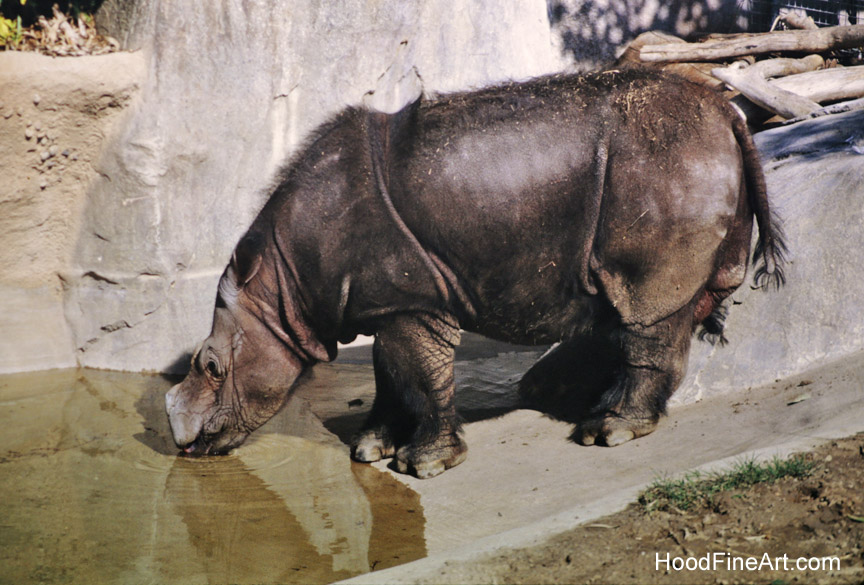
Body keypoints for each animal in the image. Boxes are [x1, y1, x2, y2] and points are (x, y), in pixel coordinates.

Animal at [166, 68, 786, 478]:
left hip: (666, 165)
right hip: (686, 160)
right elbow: (391, 375)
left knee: (644, 305)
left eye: (211, 366)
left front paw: (424, 466)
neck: (282, 281)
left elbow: (418, 374)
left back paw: (607, 433)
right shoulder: (387, 301)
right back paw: (604, 411)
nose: (180, 441)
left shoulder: (411, 299)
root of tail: (728, 113)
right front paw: (370, 450)